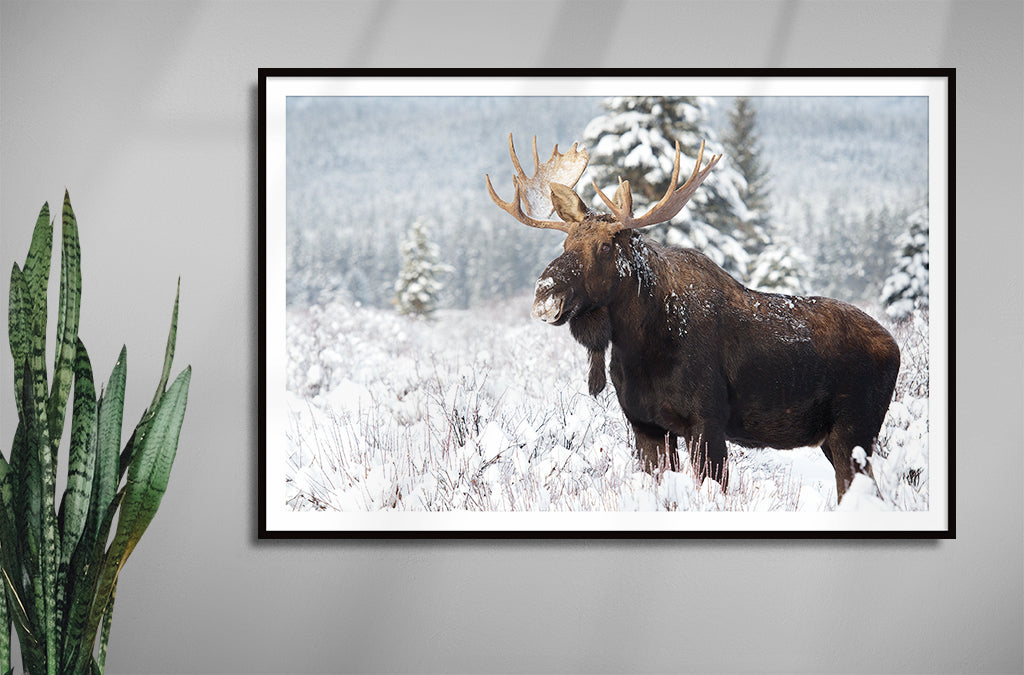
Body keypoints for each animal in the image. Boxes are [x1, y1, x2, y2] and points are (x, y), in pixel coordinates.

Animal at [486, 134, 900, 502]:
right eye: (566, 243)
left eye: (604, 246)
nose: (545, 292)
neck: (637, 349)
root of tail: (896, 347)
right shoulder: (647, 427)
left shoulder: (707, 422)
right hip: (835, 439)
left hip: (854, 429)